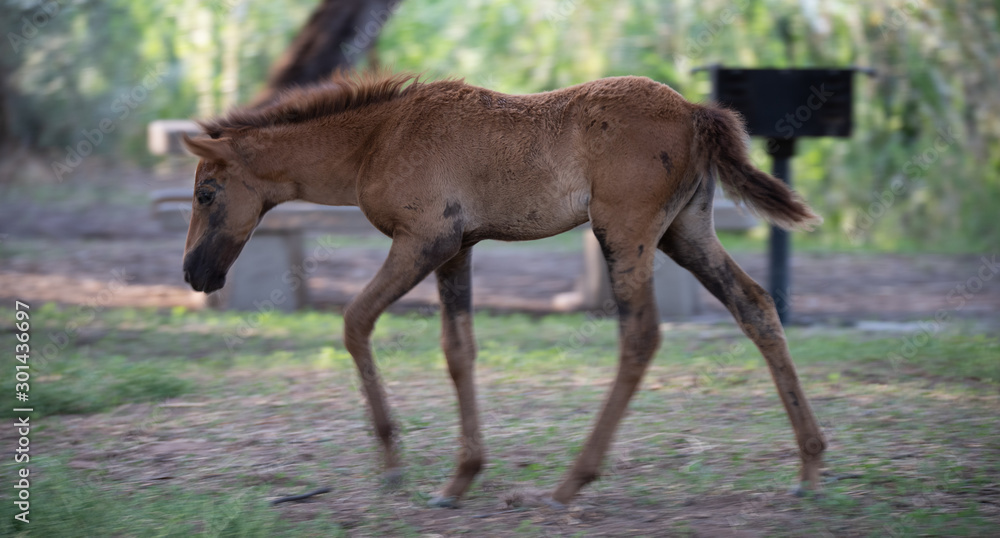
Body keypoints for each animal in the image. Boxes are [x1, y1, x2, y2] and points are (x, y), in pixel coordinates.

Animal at [182, 72, 828, 506]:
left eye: (206, 193)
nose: (193, 274)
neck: (377, 139)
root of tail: (695, 112)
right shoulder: (459, 248)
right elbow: (458, 351)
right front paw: (461, 476)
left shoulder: (425, 239)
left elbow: (355, 321)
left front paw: (392, 462)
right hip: (685, 233)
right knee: (755, 305)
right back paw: (810, 465)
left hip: (625, 232)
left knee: (641, 336)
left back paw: (572, 481)